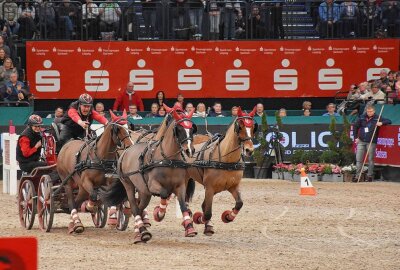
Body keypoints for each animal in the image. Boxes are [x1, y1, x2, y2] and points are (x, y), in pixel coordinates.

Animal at [101, 104, 197, 244]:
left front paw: (189, 227)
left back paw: (139, 230)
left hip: (143, 191)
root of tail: (126, 152)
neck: (168, 159)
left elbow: (183, 205)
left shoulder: (180, 186)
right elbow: (164, 194)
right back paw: (142, 232)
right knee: (134, 207)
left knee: (139, 207)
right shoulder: (153, 186)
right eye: (179, 129)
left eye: (191, 129)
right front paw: (159, 213)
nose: (190, 150)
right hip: (129, 185)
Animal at [188, 106, 256, 235]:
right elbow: (207, 212)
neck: (226, 160)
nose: (249, 150)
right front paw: (199, 219)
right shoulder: (209, 188)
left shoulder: (233, 186)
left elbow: (239, 203)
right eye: (240, 126)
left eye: (254, 127)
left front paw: (228, 216)